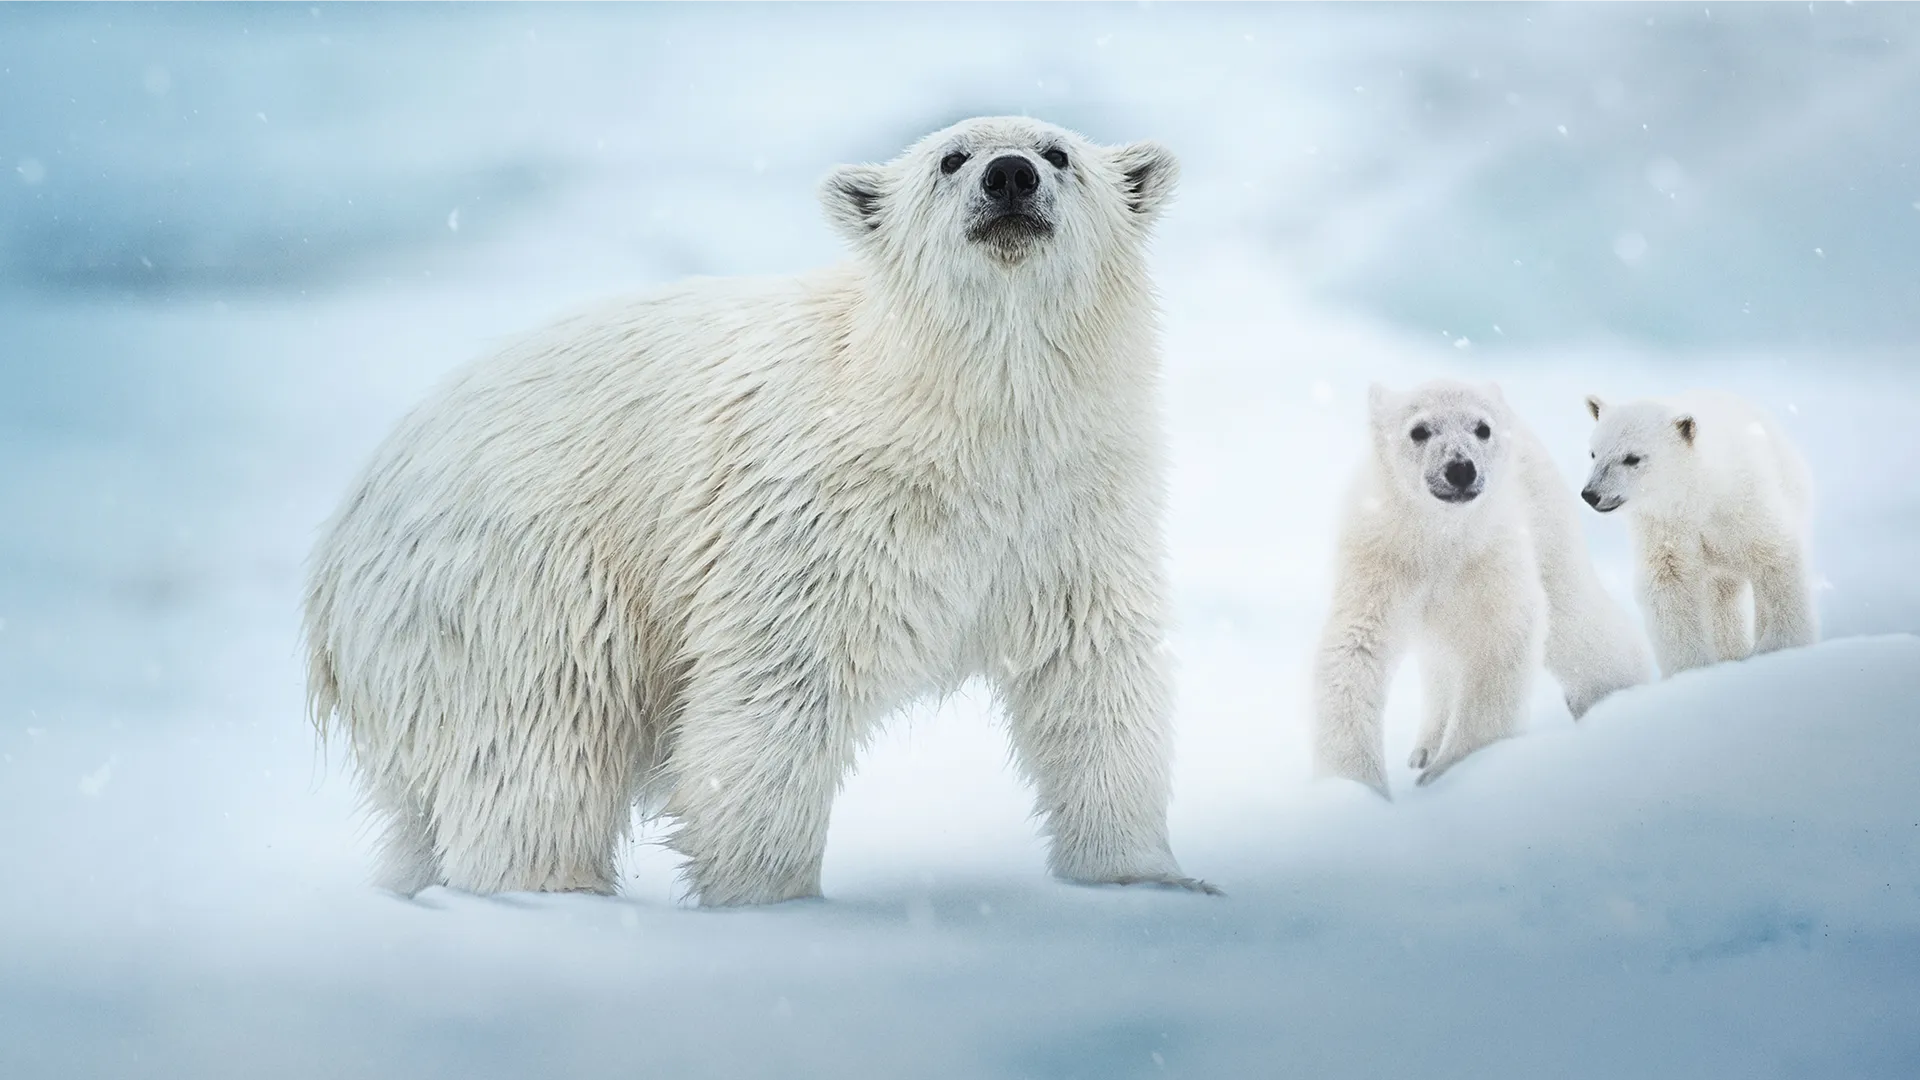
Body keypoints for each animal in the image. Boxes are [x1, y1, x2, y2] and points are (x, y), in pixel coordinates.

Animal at [303, 116, 1215, 906]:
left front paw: (1148, 877)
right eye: (951, 159)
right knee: (541, 746)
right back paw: (549, 888)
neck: (959, 419)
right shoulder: (814, 513)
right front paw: (773, 899)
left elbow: (1094, 676)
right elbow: (779, 690)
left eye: (1059, 152)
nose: (1011, 176)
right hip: (515, 586)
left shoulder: (1070, 510)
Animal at [1314, 380, 1653, 794]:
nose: (1460, 469)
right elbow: (1355, 648)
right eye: (1419, 430)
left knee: (1573, 618)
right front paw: (1356, 788)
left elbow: (1500, 637)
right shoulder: (1381, 558)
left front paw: (1451, 771)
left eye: (1482, 428)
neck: (1439, 536)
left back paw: (1618, 698)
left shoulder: (1490, 554)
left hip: (1546, 521)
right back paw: (1424, 747)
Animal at [1580, 391, 1817, 677]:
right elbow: (1670, 585)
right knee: (1721, 597)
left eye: (1632, 457)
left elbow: (1776, 558)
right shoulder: (1665, 528)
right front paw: (1692, 669)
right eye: (1594, 453)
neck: (1700, 494)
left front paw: (1779, 647)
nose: (1591, 494)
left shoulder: (1746, 507)